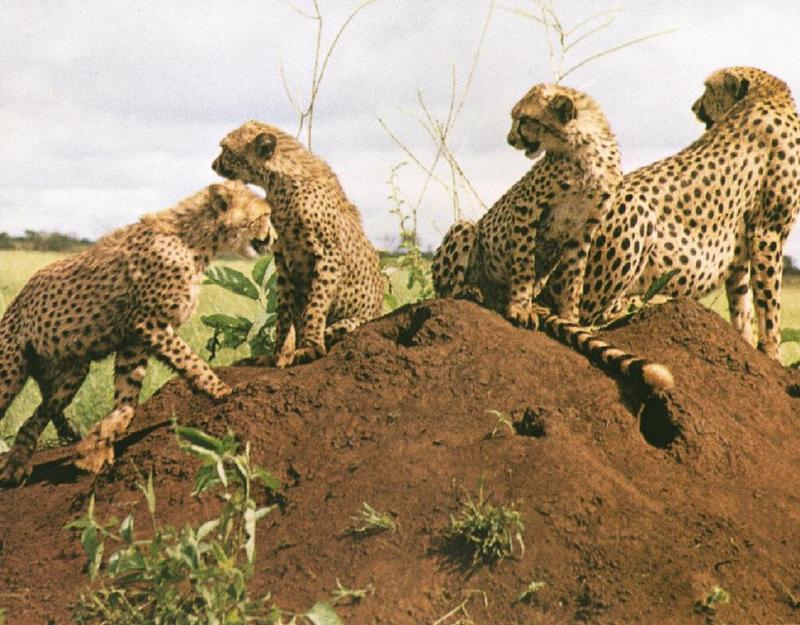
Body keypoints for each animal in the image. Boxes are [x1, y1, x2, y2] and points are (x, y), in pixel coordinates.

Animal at [0, 178, 276, 480]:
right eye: (263, 215)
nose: (274, 238)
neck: (195, 240)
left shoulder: (134, 341)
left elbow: (128, 400)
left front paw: (96, 446)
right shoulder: (149, 323)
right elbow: (190, 361)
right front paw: (221, 390)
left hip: (72, 371)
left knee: (36, 416)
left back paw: (18, 461)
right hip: (9, 371)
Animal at [211, 120, 382, 368]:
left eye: (225, 149)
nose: (213, 164)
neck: (277, 183)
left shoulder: (327, 256)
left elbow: (315, 305)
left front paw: (309, 347)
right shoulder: (283, 260)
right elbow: (284, 312)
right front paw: (279, 354)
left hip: (356, 321)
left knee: (336, 329)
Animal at [434, 83, 672, 390]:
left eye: (524, 119)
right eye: (515, 118)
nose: (510, 140)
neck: (585, 150)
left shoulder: (584, 229)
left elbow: (574, 278)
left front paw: (570, 317)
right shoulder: (527, 208)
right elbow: (523, 263)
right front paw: (521, 308)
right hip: (464, 229)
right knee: (447, 288)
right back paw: (472, 291)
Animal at [564, 66, 800, 358]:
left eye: (709, 89)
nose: (694, 107)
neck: (764, 94)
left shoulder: (742, 244)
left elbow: (742, 302)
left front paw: (746, 344)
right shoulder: (768, 232)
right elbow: (768, 302)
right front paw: (772, 352)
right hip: (636, 210)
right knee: (588, 314)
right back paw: (655, 299)